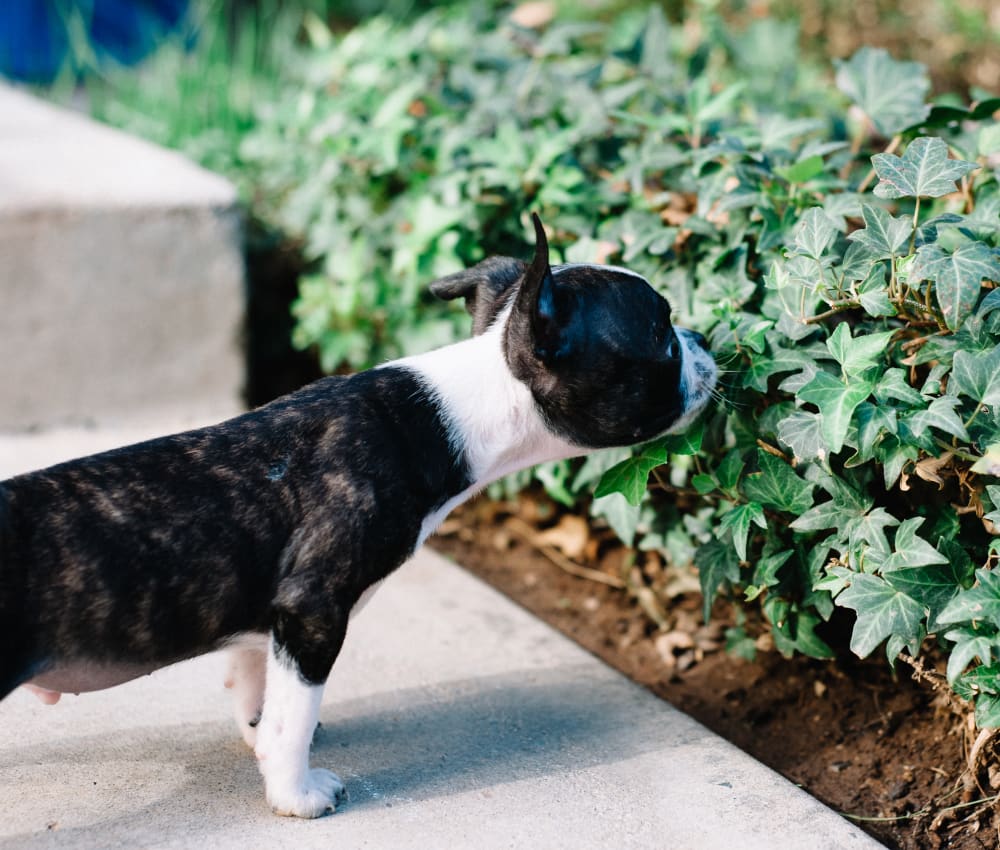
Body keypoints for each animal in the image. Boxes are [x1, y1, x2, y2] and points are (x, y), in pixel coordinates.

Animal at [0, 214, 720, 816]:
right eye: (662, 336)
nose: (705, 337)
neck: (459, 407)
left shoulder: (271, 619)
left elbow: (262, 689)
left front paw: (260, 738)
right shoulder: (312, 608)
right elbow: (293, 717)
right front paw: (295, 794)